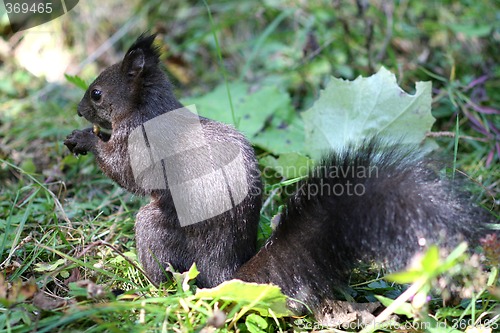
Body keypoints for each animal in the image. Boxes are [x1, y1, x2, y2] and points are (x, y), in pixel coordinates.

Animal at [64, 34, 490, 316]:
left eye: (97, 92)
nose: (80, 110)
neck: (149, 107)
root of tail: (224, 272)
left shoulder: (140, 143)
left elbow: (125, 173)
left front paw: (85, 138)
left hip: (156, 229)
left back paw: (145, 288)